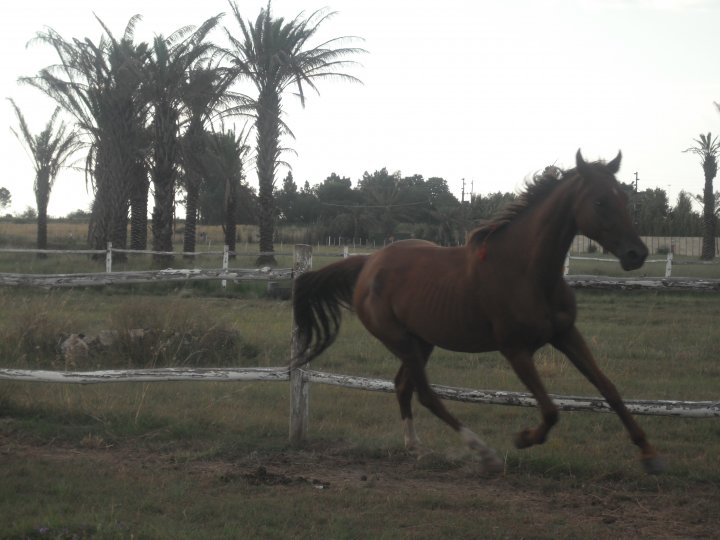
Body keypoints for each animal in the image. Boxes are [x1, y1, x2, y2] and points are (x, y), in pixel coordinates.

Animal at [292, 150, 662, 474]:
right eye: (599, 202)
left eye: (625, 198)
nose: (637, 254)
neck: (527, 270)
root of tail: (369, 264)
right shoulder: (516, 350)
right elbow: (551, 410)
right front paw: (524, 438)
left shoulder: (567, 334)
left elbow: (609, 390)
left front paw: (649, 454)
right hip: (401, 341)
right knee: (426, 394)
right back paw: (483, 453)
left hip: (421, 341)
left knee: (402, 386)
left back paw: (415, 446)